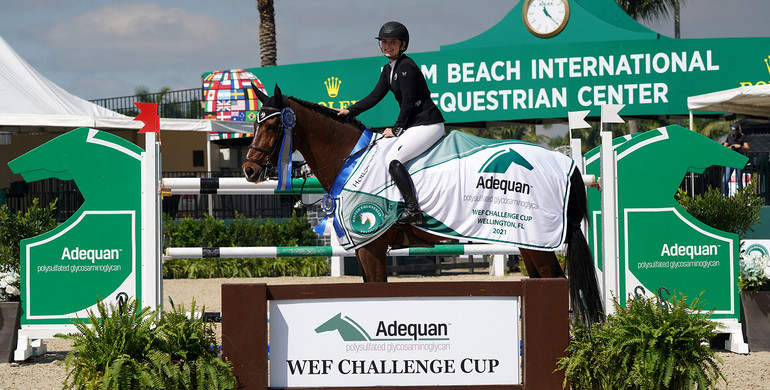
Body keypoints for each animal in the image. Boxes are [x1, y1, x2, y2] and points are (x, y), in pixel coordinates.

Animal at [240, 84, 600, 322]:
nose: (250, 170)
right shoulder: (365, 249)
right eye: (255, 123)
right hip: (527, 242)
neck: (350, 159)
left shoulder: (370, 246)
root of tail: (568, 166)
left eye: (272, 124)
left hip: (537, 241)